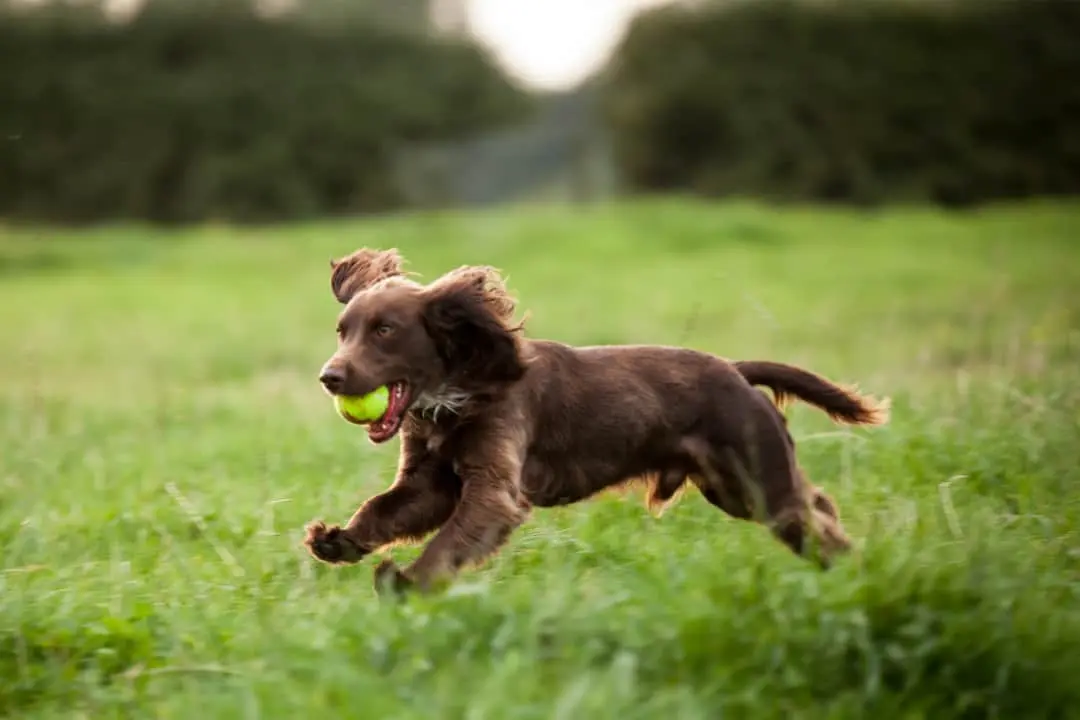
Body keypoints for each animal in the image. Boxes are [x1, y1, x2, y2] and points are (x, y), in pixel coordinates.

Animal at [302, 250, 885, 595]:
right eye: (342, 330)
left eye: (385, 330)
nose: (330, 377)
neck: (459, 390)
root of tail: (737, 371)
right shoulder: (431, 482)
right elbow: (382, 509)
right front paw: (339, 540)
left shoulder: (494, 489)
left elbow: (450, 541)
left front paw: (407, 582)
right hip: (734, 490)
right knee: (818, 506)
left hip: (758, 480)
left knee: (814, 517)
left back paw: (859, 574)